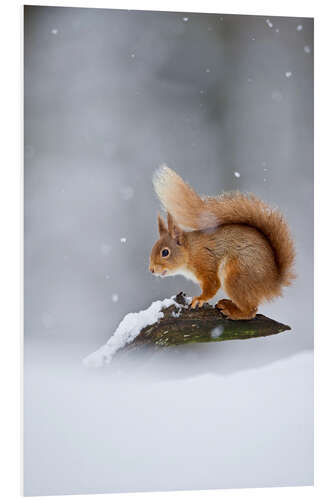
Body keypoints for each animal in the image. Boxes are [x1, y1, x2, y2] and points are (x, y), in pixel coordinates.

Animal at [149, 165, 294, 320]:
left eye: (165, 252)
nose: (151, 270)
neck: (190, 251)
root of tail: (273, 282)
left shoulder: (205, 262)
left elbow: (213, 285)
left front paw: (199, 299)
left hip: (236, 275)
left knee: (251, 310)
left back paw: (231, 310)